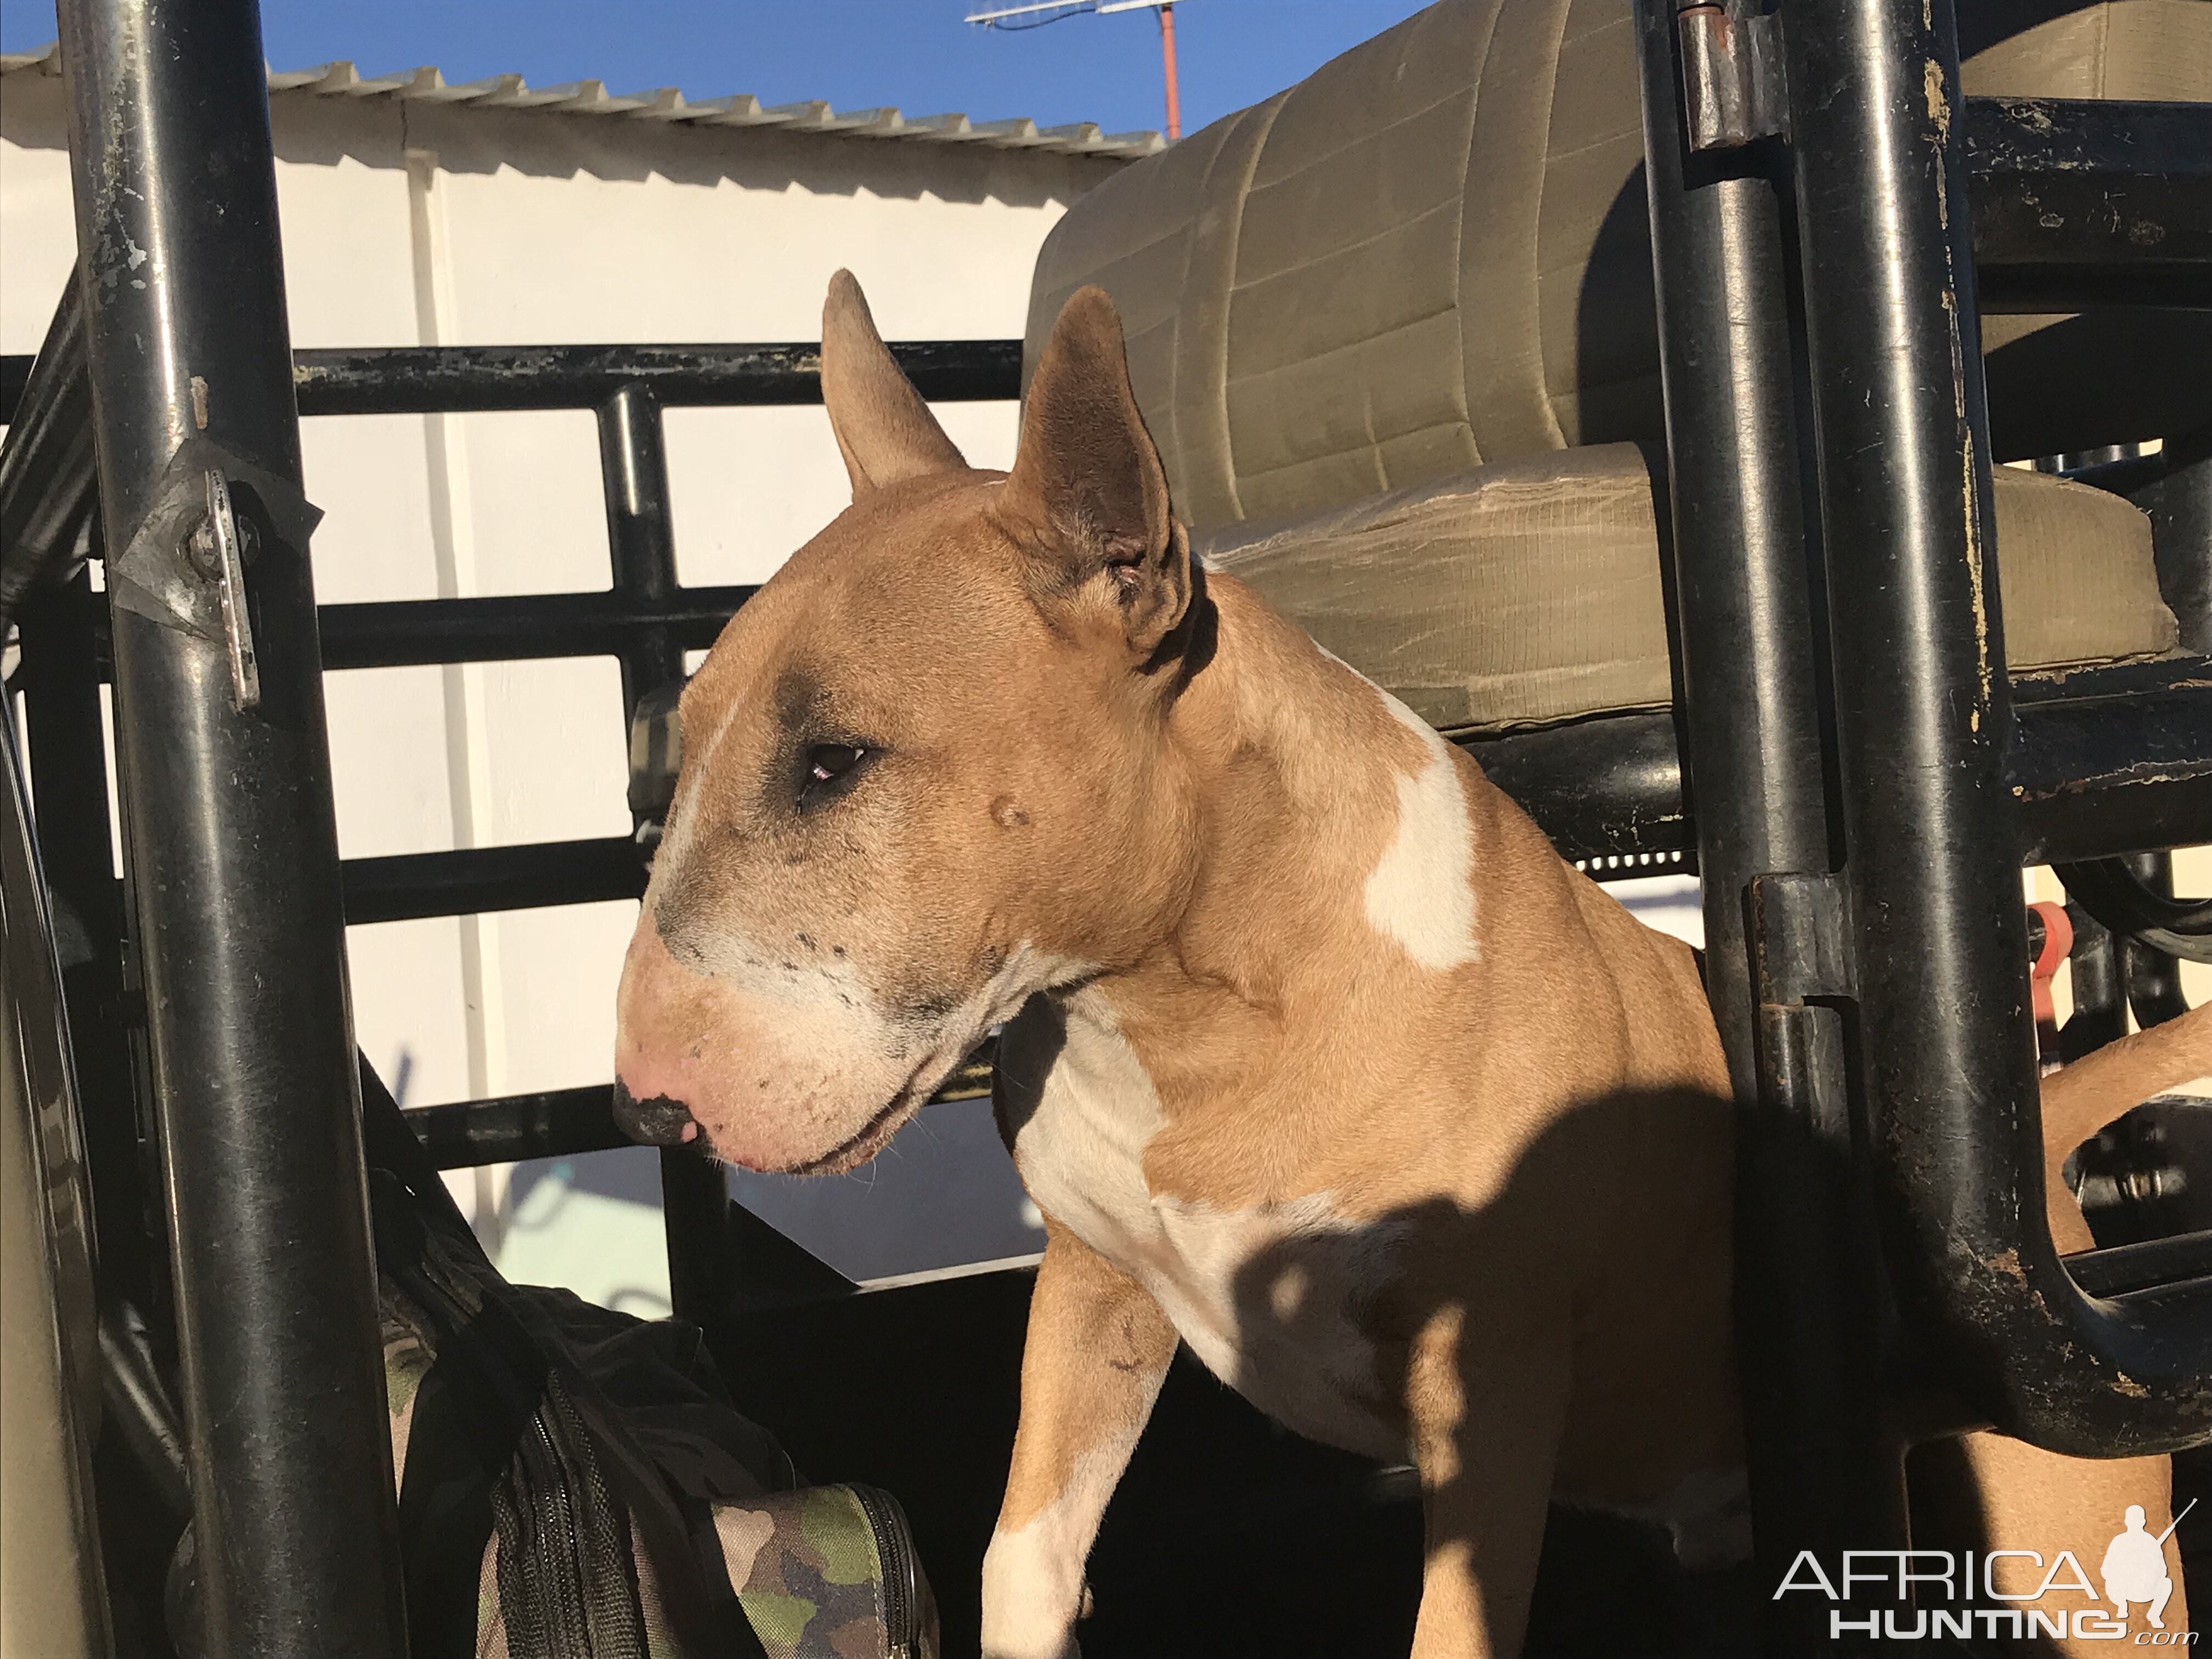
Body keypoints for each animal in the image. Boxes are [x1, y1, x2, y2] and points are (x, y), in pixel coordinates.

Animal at [614, 276, 2203, 1659]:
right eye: (677, 755)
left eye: (836, 761)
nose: (646, 1106)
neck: (1190, 1019)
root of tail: (2041, 1146)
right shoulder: (1090, 1289)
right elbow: (1030, 1556)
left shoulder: (1486, 1381)